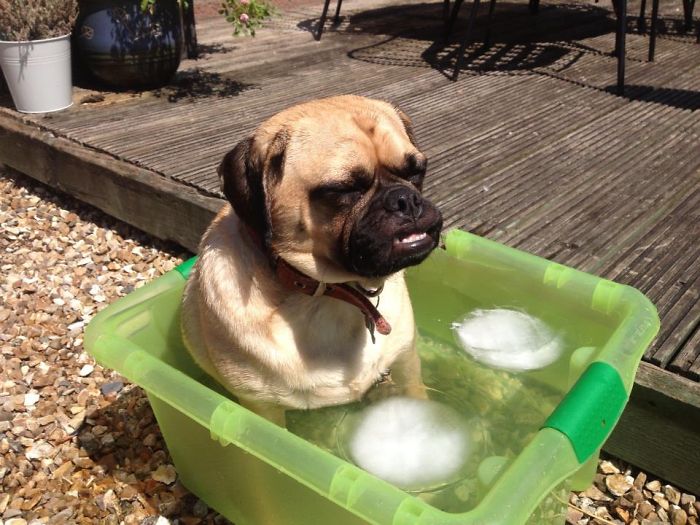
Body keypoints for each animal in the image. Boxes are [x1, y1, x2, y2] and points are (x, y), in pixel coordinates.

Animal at [180, 95, 442, 426]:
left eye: (416, 172)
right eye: (342, 190)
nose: (405, 199)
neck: (337, 293)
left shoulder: (406, 360)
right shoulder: (261, 407)